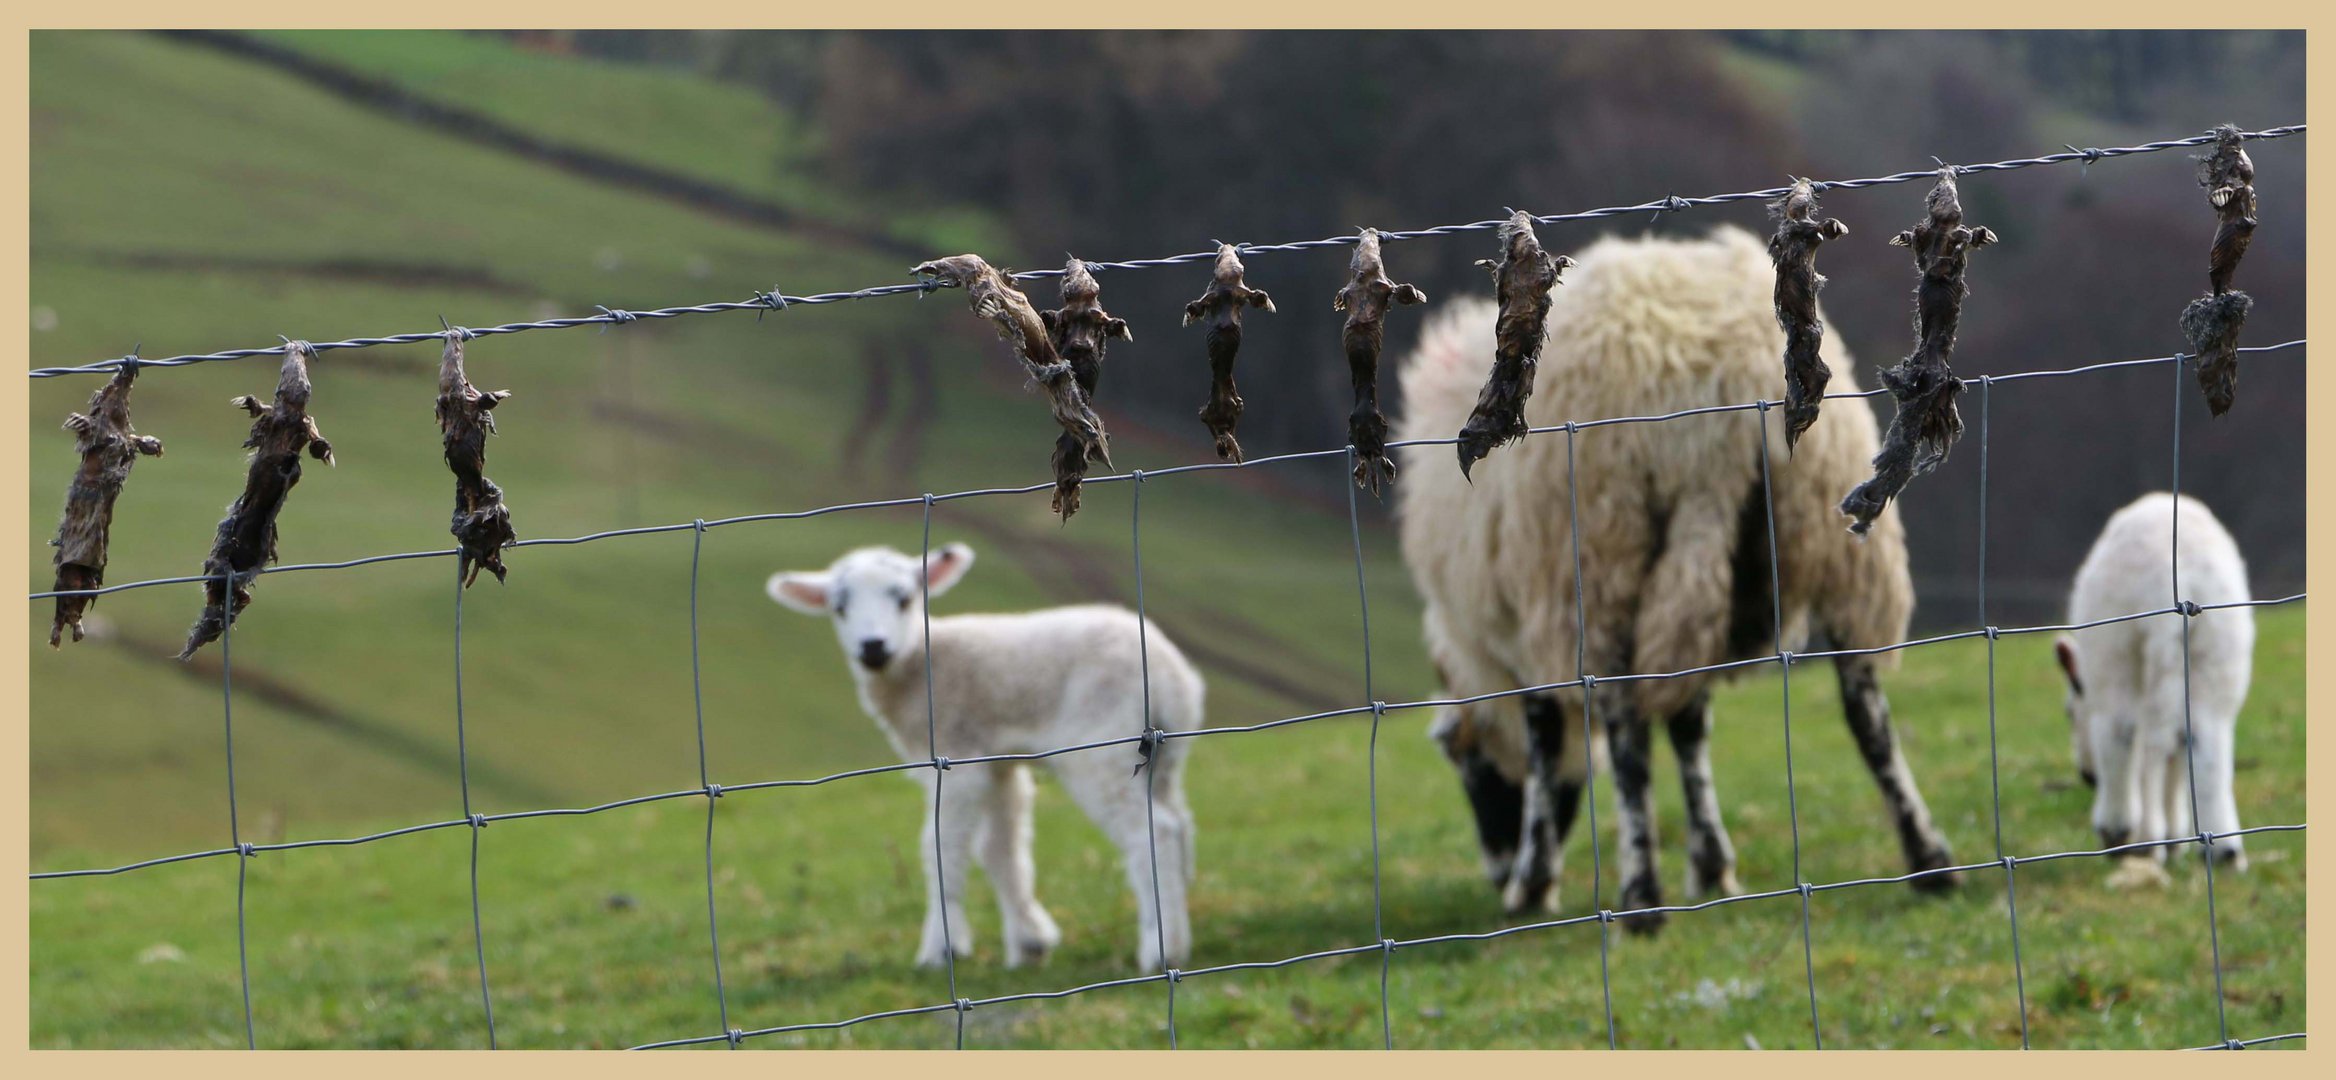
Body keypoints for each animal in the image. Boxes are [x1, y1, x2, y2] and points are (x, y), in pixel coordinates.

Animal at [766, 544, 1205, 972]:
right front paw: (1029, 942)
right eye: (839, 607)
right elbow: (1000, 850)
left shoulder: (956, 760)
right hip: (1162, 754)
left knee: (1156, 830)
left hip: (1102, 747)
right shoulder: (996, 763)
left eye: (904, 599)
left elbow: (942, 847)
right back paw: (1179, 926)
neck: (918, 667)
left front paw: (941, 949)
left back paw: (1161, 949)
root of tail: (1170, 673)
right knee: (1180, 822)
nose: (872, 647)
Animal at [1382, 225, 1952, 930]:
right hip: (1833, 540)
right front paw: (1710, 865)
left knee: (1625, 725)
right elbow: (1688, 725)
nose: (1494, 869)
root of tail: (1726, 393)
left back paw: (1639, 896)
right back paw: (1928, 858)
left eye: (1466, 762)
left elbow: (1547, 743)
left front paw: (1533, 882)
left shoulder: (1526, 619)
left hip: (1604, 555)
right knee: (1864, 706)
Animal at [2055, 493, 2251, 874]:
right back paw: (2224, 850)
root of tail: (2172, 576)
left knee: (2124, 731)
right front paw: (2175, 839)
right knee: (2204, 736)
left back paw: (2124, 834)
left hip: (2115, 641)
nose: (2087, 777)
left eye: (2070, 712)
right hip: (2218, 646)